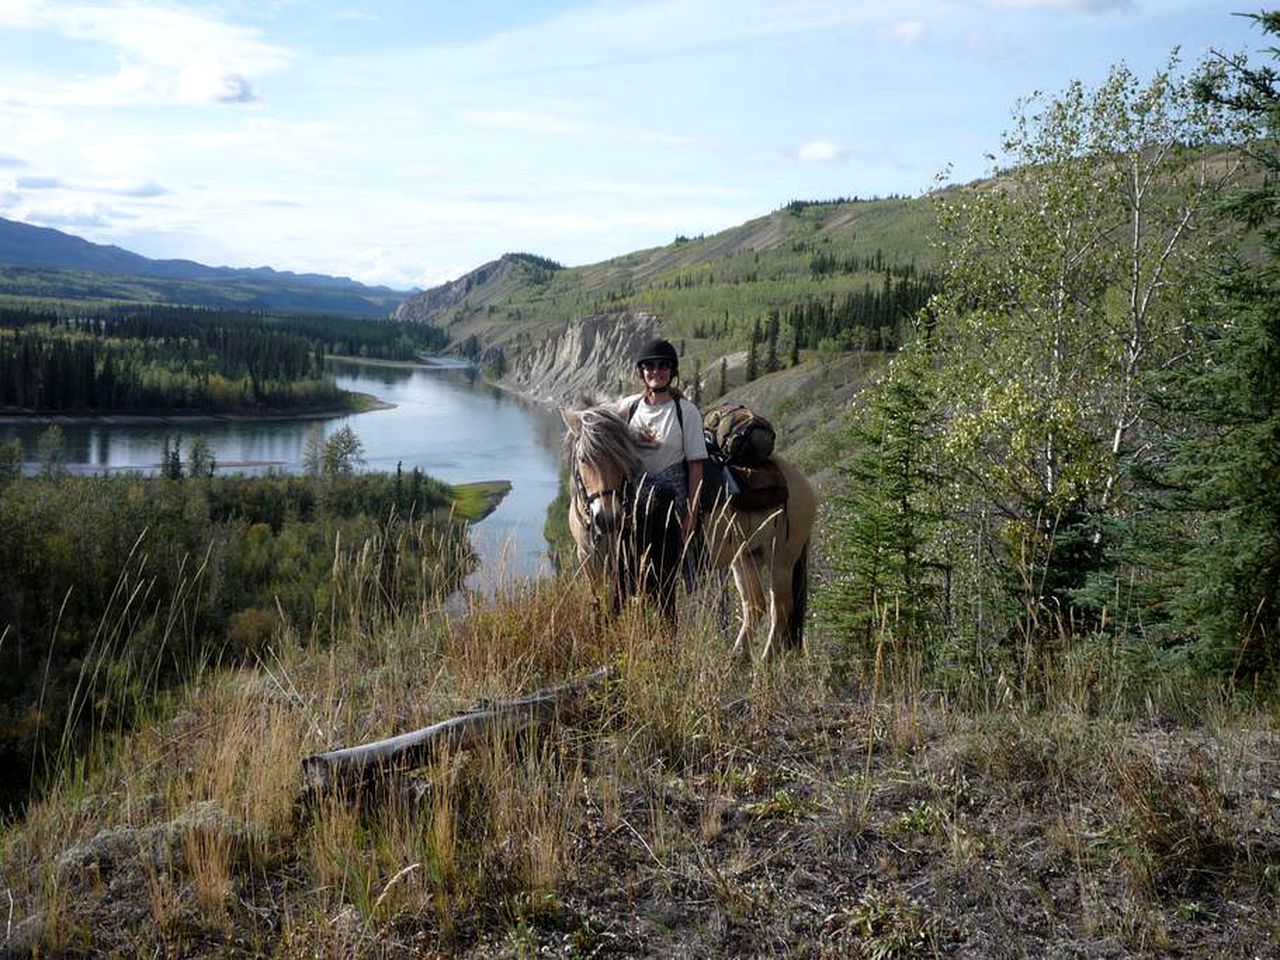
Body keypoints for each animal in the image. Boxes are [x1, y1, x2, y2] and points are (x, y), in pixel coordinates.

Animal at [563, 401, 819, 665]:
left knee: (781, 608)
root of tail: (800, 482)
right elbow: (601, 612)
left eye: (623, 459)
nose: (608, 518)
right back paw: (737, 660)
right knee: (754, 605)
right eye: (583, 459)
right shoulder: (595, 568)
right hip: (746, 556)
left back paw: (765, 663)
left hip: (781, 559)